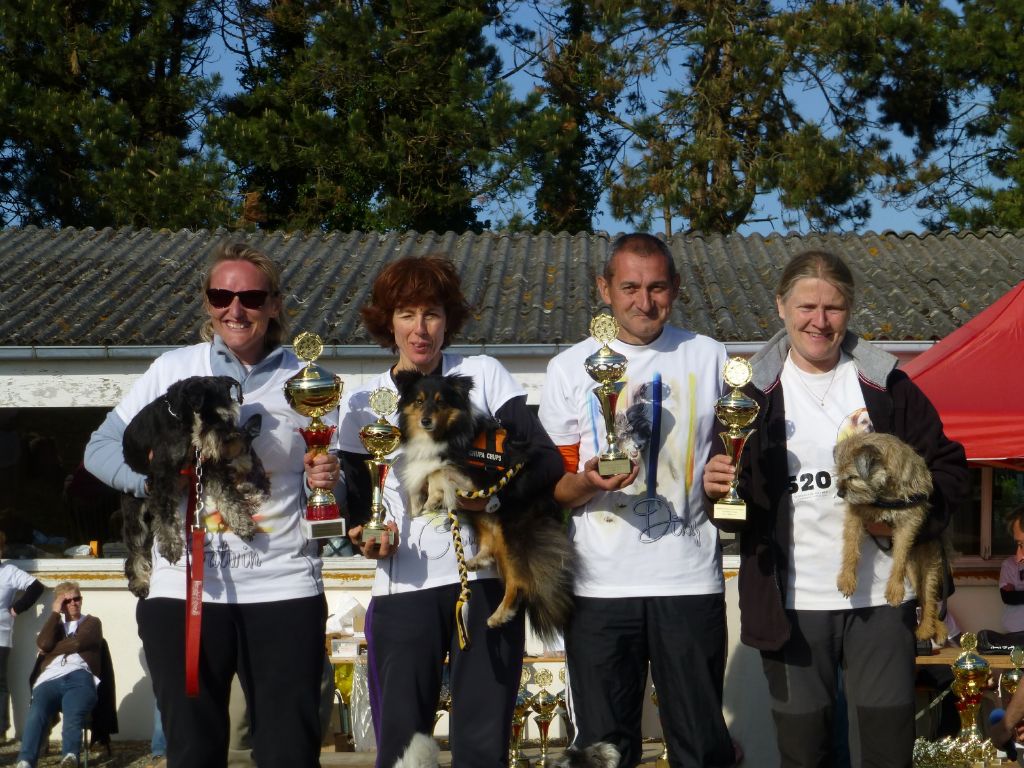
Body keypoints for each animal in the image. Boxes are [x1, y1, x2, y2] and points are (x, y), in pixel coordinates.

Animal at [393, 372, 577, 643]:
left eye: (440, 402)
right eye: (419, 401)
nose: (426, 421)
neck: (446, 434)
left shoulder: (473, 476)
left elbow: (438, 471)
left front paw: (433, 498)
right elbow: (422, 476)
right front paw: (416, 504)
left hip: (510, 530)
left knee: (518, 582)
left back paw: (500, 615)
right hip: (484, 516)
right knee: (490, 544)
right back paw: (475, 562)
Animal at [831, 434, 942, 643]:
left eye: (852, 477)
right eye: (838, 474)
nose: (840, 493)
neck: (886, 493)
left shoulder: (908, 523)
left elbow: (899, 557)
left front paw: (895, 590)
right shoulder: (856, 513)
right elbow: (850, 547)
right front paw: (847, 579)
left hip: (927, 564)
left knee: (929, 598)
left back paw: (929, 628)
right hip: (913, 572)